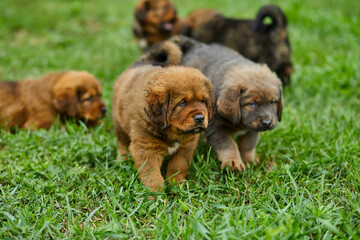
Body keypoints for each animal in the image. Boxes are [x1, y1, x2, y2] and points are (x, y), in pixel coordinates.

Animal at [112, 41, 214, 191]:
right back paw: (122, 159)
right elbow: (152, 176)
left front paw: (176, 184)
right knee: (122, 142)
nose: (200, 118)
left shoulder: (186, 146)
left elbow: (178, 165)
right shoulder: (146, 148)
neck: (171, 132)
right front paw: (155, 194)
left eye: (203, 101)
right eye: (182, 103)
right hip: (119, 122)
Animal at [167, 35, 284, 171]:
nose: (267, 123)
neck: (239, 122)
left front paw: (250, 161)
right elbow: (229, 145)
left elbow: (248, 145)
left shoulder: (252, 128)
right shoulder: (216, 128)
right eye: (252, 104)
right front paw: (233, 162)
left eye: (272, 102)